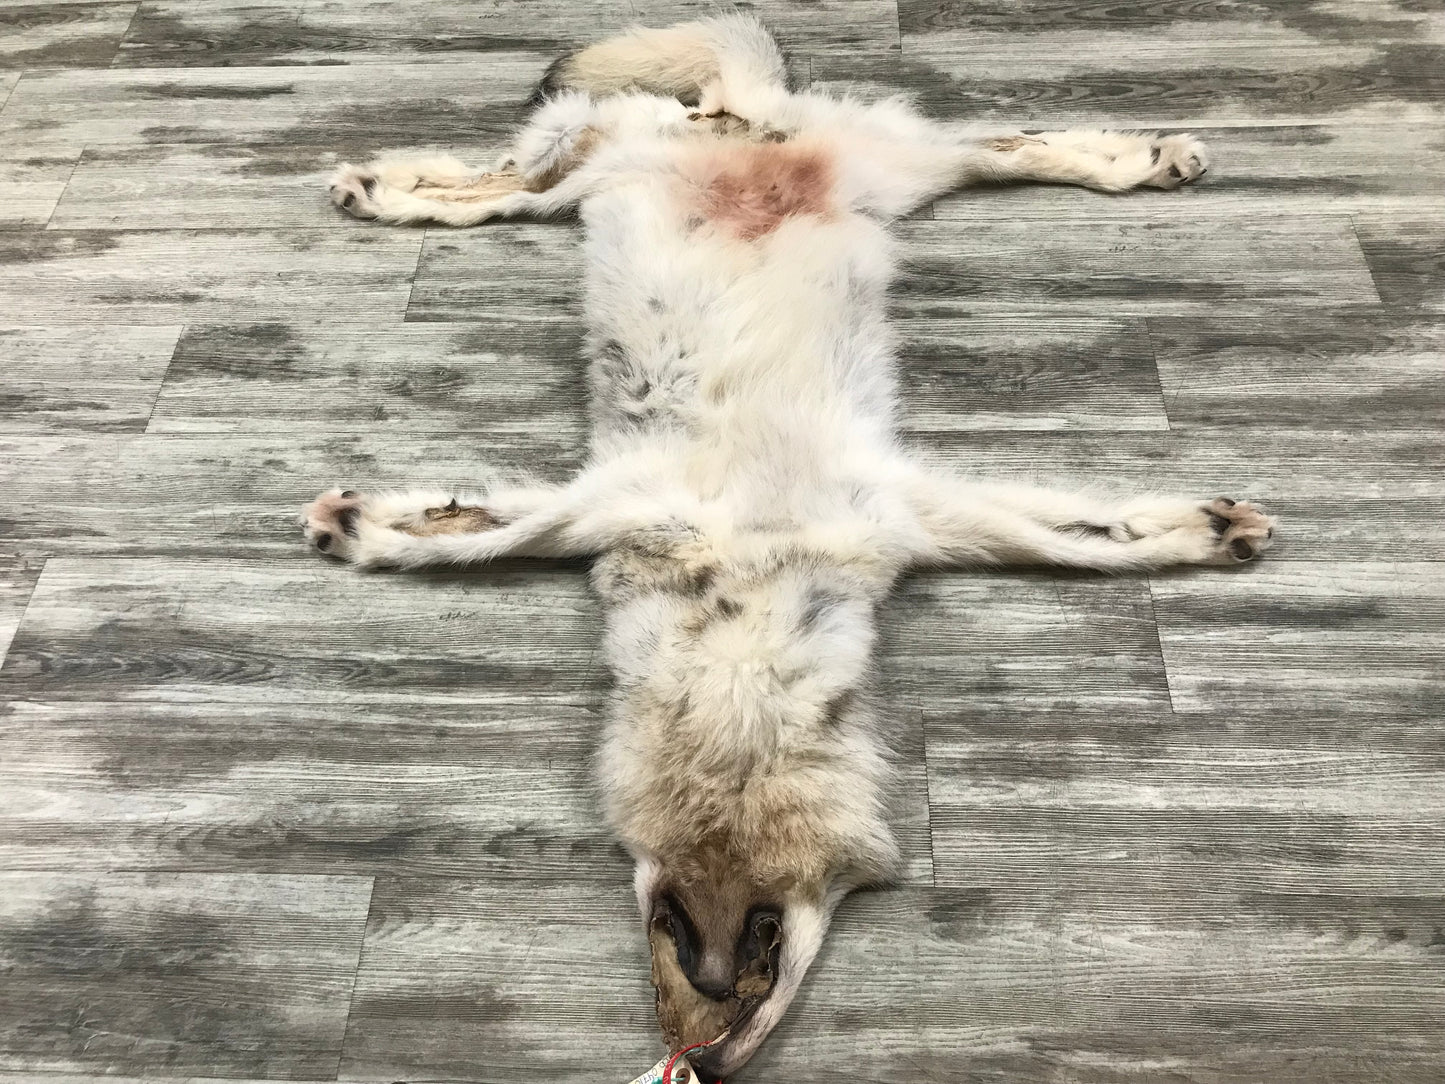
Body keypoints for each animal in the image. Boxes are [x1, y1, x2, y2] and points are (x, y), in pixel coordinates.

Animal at [302, 13, 1274, 1080]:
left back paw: (1151, 158)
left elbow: (1089, 544)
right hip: (641, 172)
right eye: (677, 958)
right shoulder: (612, 507)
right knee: (508, 185)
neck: (750, 589)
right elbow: (468, 535)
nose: (702, 1058)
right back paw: (377, 189)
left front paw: (1203, 532)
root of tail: (742, 128)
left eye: (739, 967)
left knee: (1002, 146)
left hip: (881, 169)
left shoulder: (912, 511)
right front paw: (359, 525)